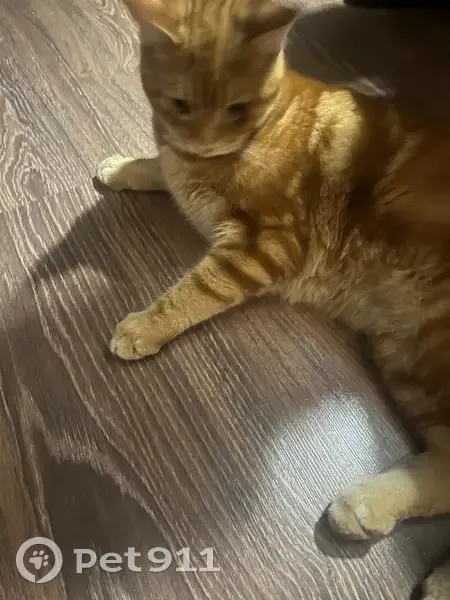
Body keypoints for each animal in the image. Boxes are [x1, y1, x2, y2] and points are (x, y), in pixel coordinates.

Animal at [96, 0, 450, 596]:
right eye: (180, 104)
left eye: (236, 110)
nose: (207, 141)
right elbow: (158, 166)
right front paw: (127, 166)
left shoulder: (265, 247)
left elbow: (193, 292)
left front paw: (145, 326)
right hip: (410, 362)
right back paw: (372, 511)